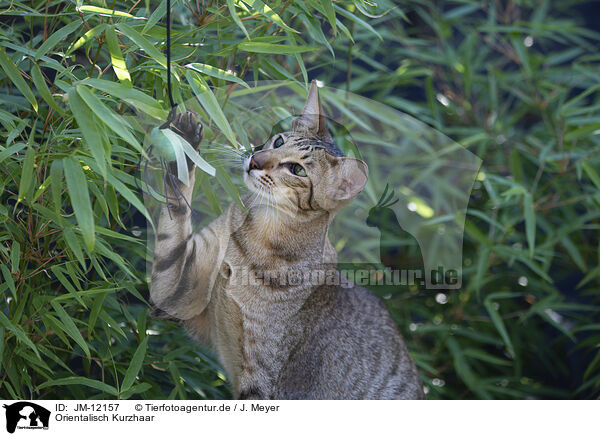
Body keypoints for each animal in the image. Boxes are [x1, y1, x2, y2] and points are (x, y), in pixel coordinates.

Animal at [149, 81, 422, 398]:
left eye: (297, 170)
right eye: (278, 141)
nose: (255, 160)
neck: (258, 238)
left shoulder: (261, 382)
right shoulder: (174, 294)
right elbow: (175, 209)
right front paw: (183, 141)